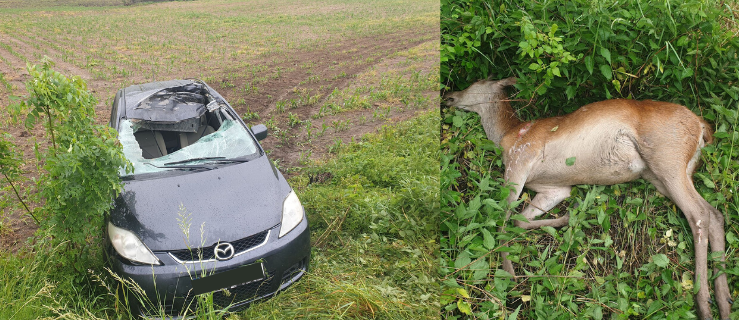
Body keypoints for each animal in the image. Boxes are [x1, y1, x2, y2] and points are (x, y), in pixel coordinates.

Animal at [446, 78, 736, 320]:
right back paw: (724, 303)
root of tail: (702, 127)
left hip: (668, 158)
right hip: (664, 174)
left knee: (698, 214)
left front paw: (508, 276)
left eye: (477, 82)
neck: (508, 134)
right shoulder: (554, 188)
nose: (449, 96)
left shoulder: (520, 160)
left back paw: (704, 304)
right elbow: (520, 220)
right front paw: (567, 216)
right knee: (715, 213)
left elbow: (504, 219)